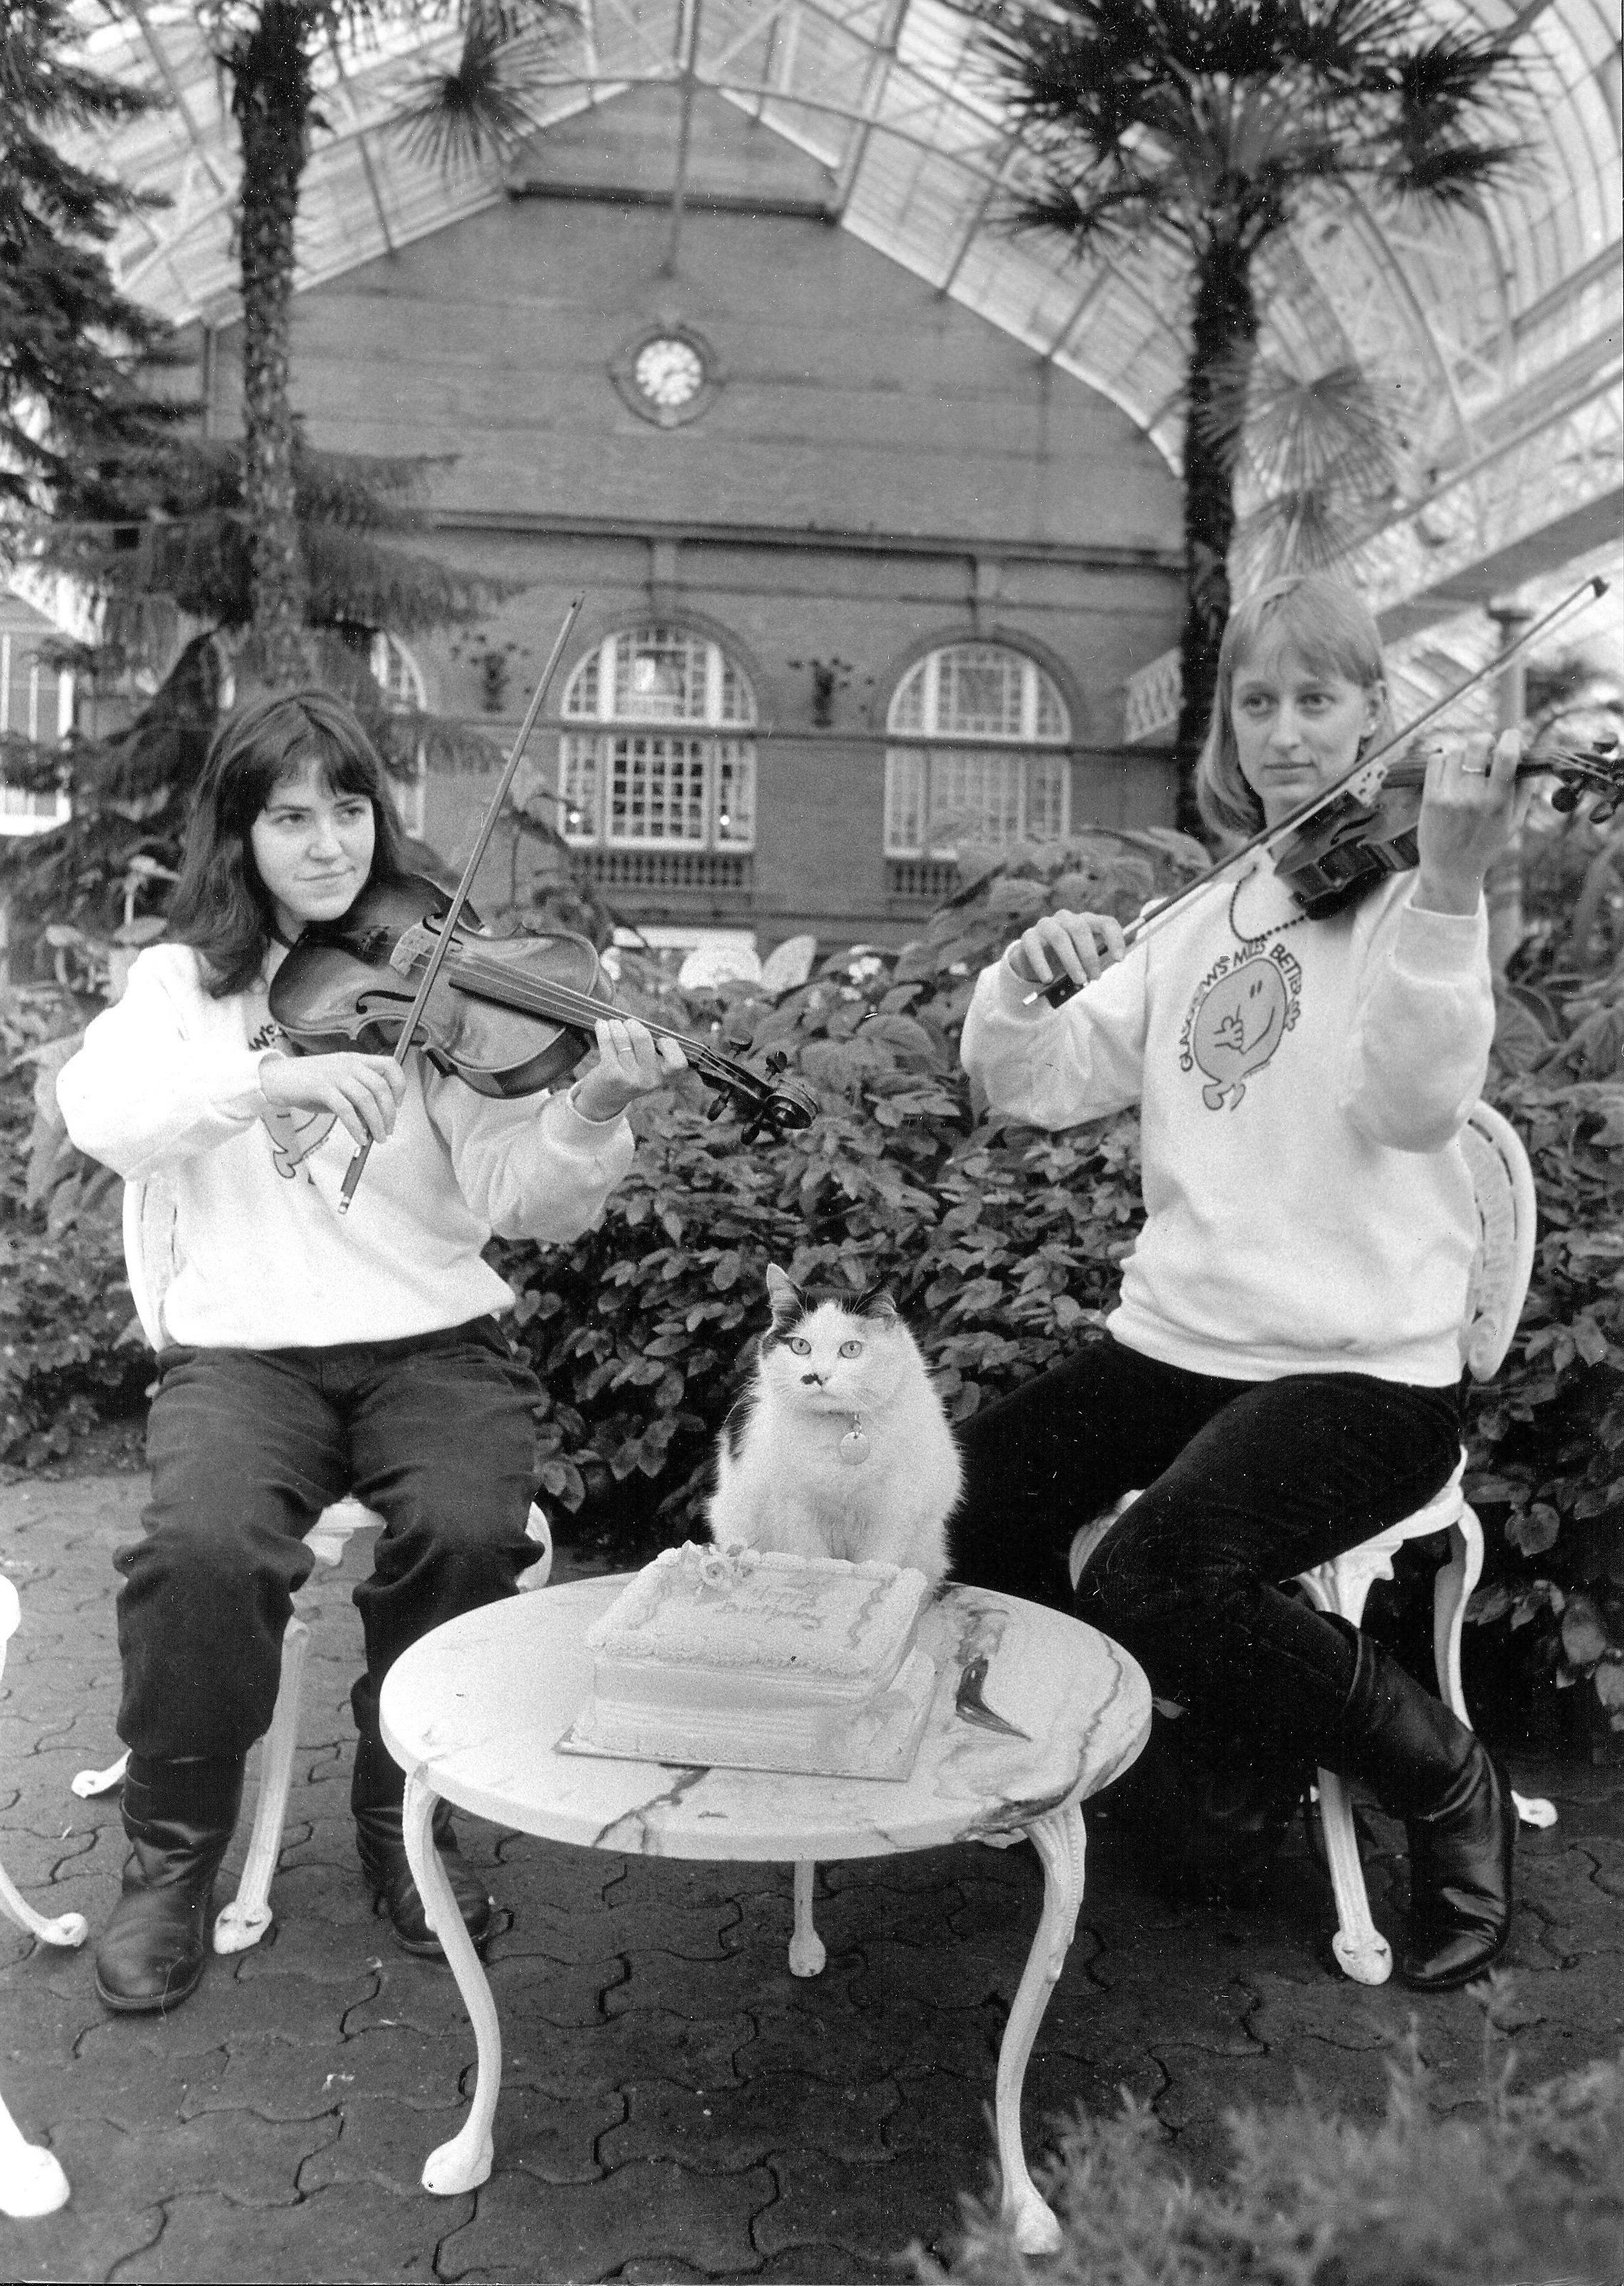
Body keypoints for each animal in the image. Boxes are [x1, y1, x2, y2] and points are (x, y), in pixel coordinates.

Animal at [703, 1261, 959, 1582]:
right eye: (800, 1346)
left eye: (851, 1349)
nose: (818, 1376)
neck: (843, 1436)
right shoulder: (797, 1514)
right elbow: (815, 1563)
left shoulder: (892, 1515)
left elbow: (878, 1567)